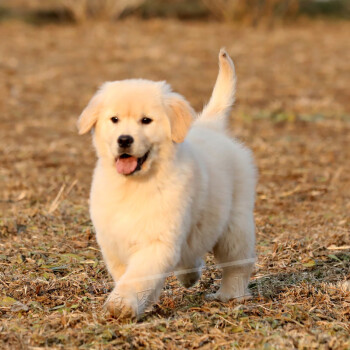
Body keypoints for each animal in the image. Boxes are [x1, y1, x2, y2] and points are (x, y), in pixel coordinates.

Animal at [78, 49, 256, 320]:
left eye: (146, 120)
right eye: (114, 119)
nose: (124, 140)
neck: (135, 184)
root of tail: (210, 127)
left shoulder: (157, 240)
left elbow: (138, 275)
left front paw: (122, 305)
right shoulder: (112, 241)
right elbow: (125, 275)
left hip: (235, 225)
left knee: (237, 263)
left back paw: (230, 294)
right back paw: (190, 276)